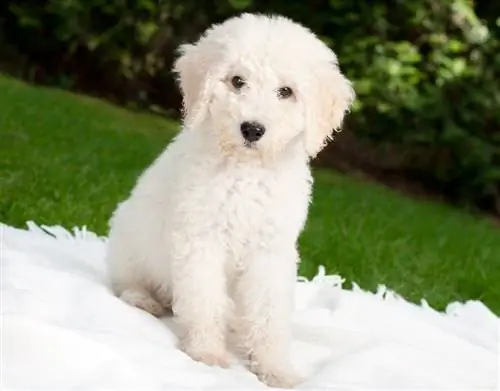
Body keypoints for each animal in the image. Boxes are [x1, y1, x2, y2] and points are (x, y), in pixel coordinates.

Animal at [105, 12, 356, 388]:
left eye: (286, 92)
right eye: (238, 81)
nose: (252, 129)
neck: (246, 169)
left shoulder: (270, 250)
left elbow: (269, 313)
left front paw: (275, 368)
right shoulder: (201, 239)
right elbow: (205, 299)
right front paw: (207, 352)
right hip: (129, 241)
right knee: (126, 281)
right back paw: (144, 299)